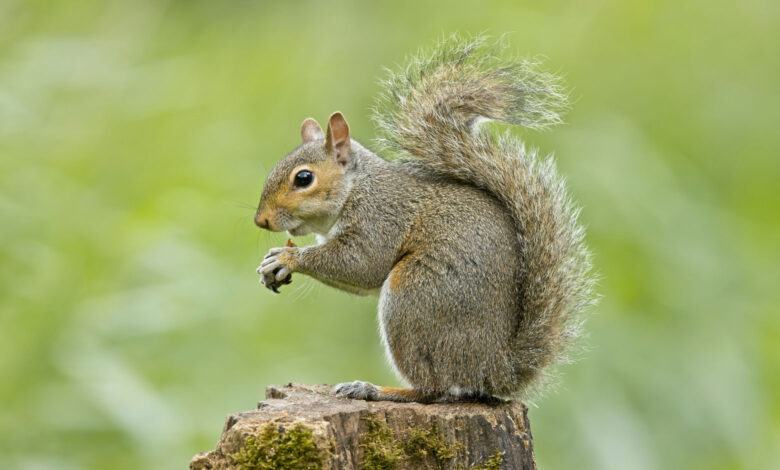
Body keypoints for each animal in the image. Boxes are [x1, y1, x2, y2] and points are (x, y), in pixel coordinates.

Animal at [254, 36, 595, 403]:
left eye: (304, 178)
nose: (261, 221)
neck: (357, 188)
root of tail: (494, 369)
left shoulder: (381, 218)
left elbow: (363, 264)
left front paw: (288, 258)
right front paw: (272, 262)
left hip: (414, 297)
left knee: (433, 388)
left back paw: (375, 389)